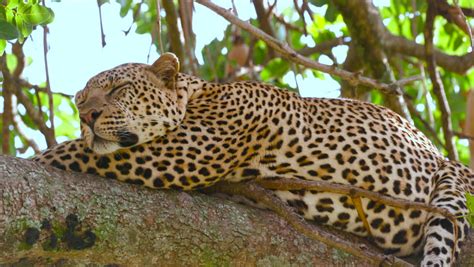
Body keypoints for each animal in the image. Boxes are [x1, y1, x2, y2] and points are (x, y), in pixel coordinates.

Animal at [31, 53, 472, 266]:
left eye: (119, 88)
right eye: (80, 101)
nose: (87, 116)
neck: (198, 94)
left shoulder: (180, 150)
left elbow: (69, 152)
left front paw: (33, 160)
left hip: (451, 186)